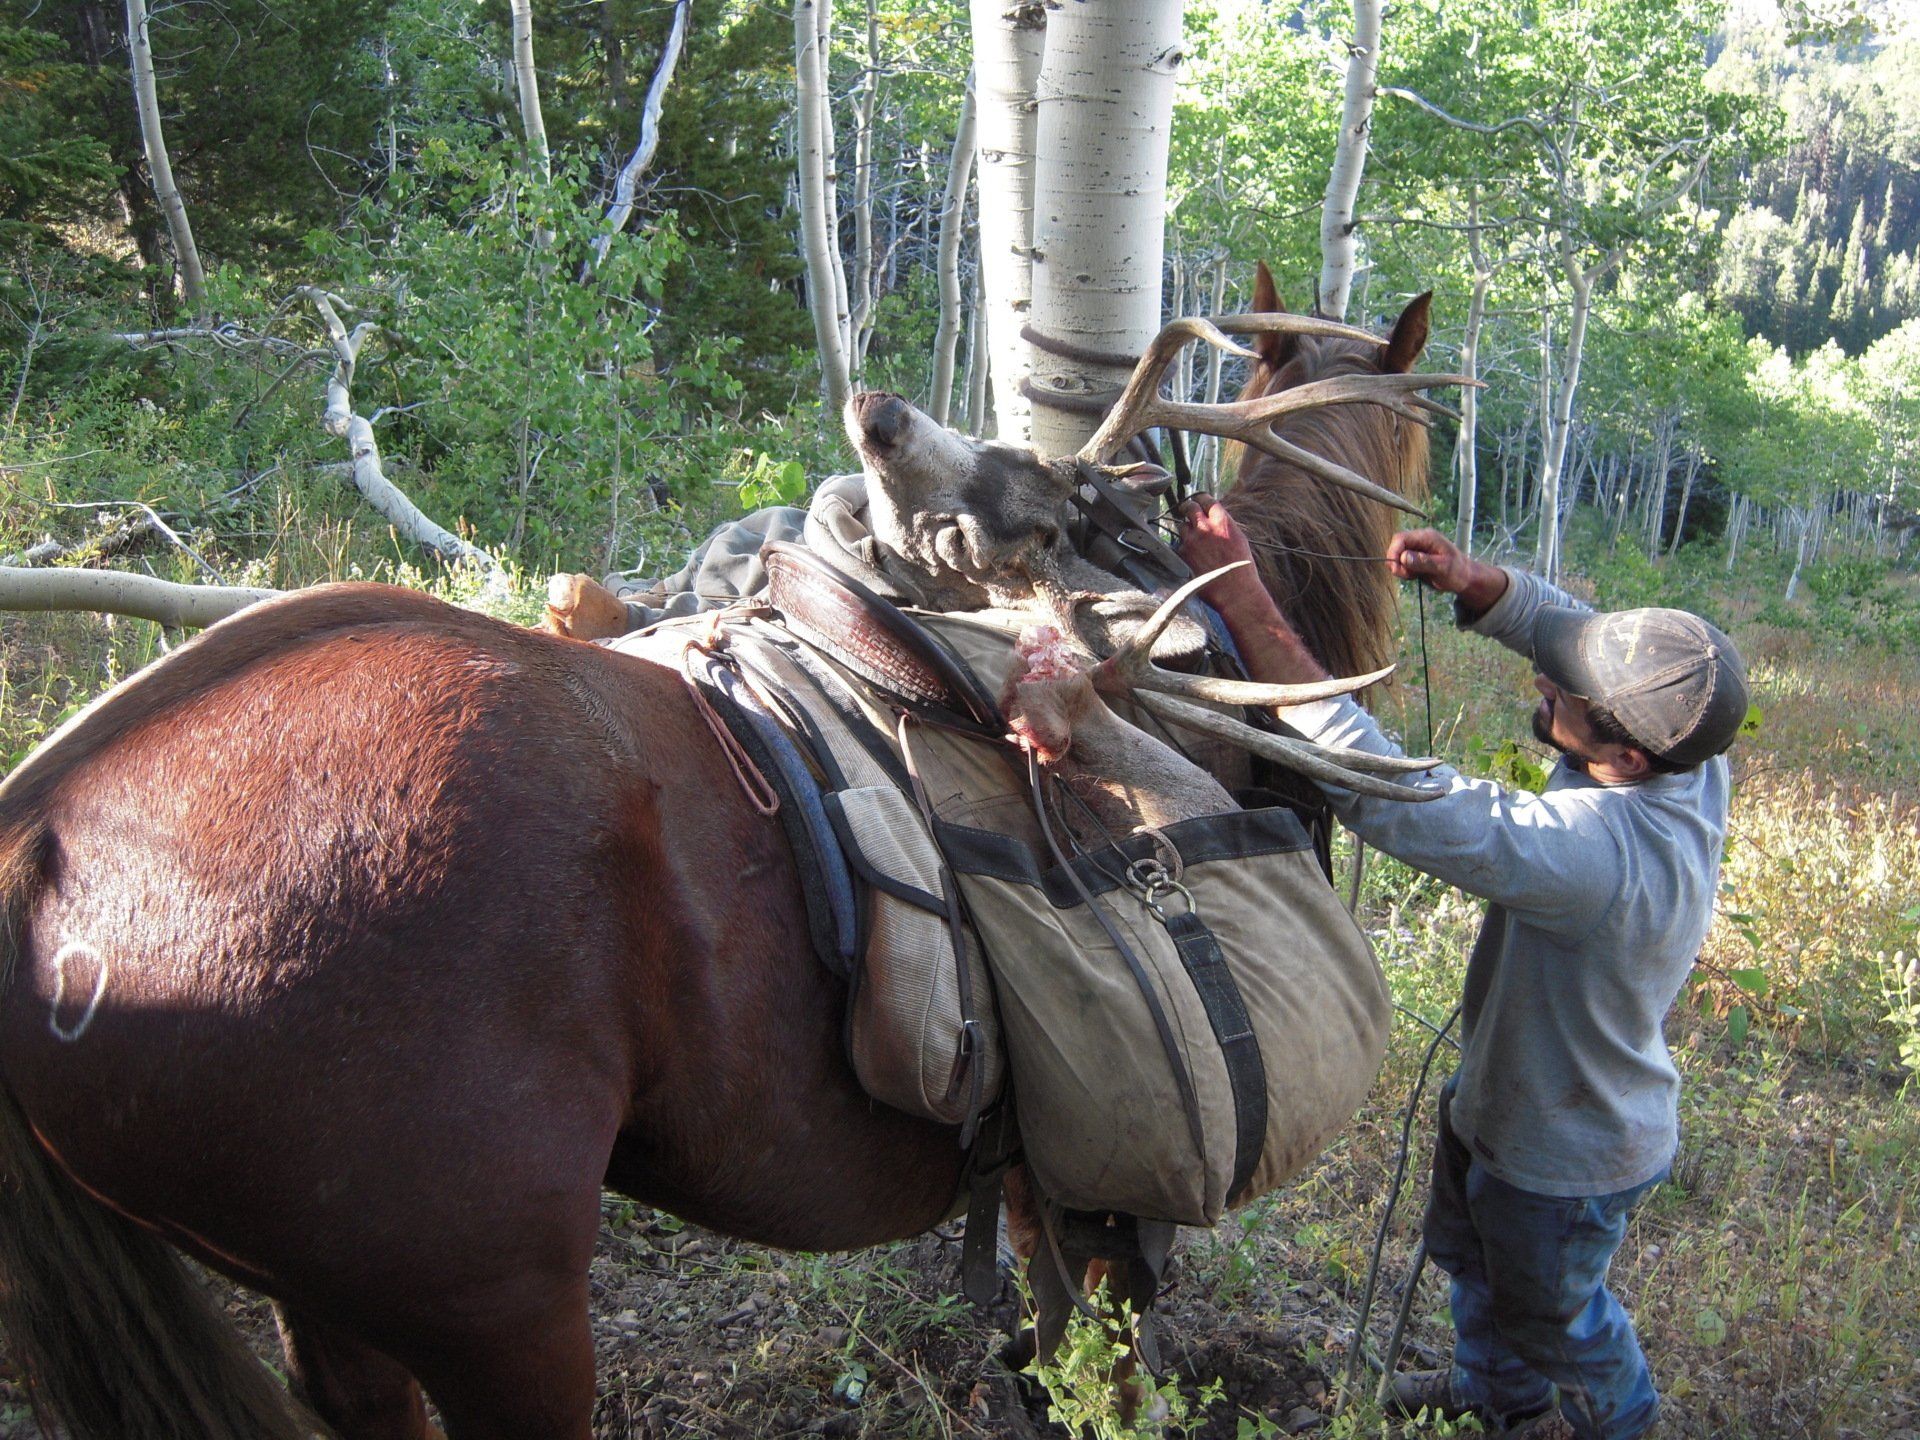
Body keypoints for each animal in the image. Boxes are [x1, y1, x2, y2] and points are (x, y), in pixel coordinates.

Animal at [0, 281, 1437, 1440]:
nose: (877, 414)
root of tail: (36, 834)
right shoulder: (1107, 1188)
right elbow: (1116, 1370)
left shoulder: (1045, 1176)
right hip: (494, 1301)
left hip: (338, 1304)